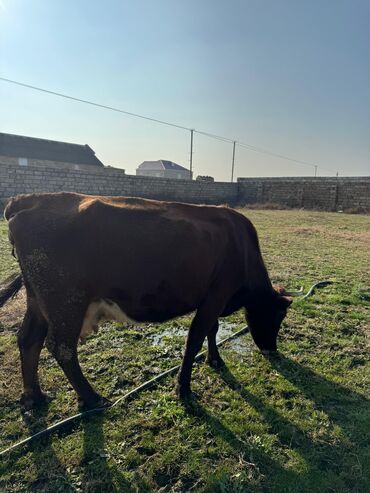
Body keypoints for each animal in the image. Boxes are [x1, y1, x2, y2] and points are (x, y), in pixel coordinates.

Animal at [0, 191, 292, 408]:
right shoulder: (216, 297)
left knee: (29, 339)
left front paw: (215, 360)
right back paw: (92, 399)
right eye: (279, 315)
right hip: (66, 302)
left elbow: (213, 329)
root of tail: (28, 200)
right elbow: (195, 339)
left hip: (38, 300)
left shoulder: (212, 299)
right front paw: (183, 389)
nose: (271, 349)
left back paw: (34, 397)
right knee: (61, 347)